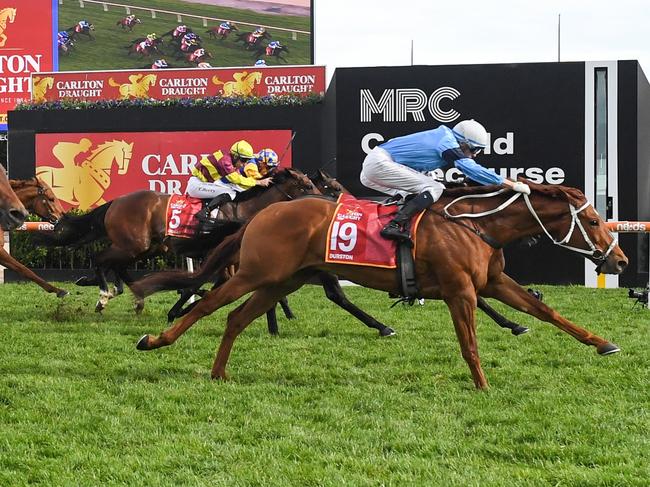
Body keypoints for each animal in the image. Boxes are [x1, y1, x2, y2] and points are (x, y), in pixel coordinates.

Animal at [38, 168, 316, 312]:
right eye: (306, 185)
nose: (320, 199)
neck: (242, 210)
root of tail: (116, 202)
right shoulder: (217, 254)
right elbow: (207, 282)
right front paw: (184, 305)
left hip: (147, 246)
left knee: (118, 265)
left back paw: (127, 293)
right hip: (135, 243)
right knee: (101, 258)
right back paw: (104, 294)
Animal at [137, 181, 628, 390]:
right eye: (592, 220)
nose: (620, 261)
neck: (477, 225)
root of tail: (263, 213)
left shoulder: (492, 282)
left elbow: (542, 310)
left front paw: (603, 343)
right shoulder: (460, 291)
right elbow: (470, 344)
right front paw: (483, 385)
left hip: (281, 280)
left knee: (237, 317)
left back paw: (220, 373)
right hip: (256, 273)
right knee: (207, 306)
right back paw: (156, 340)